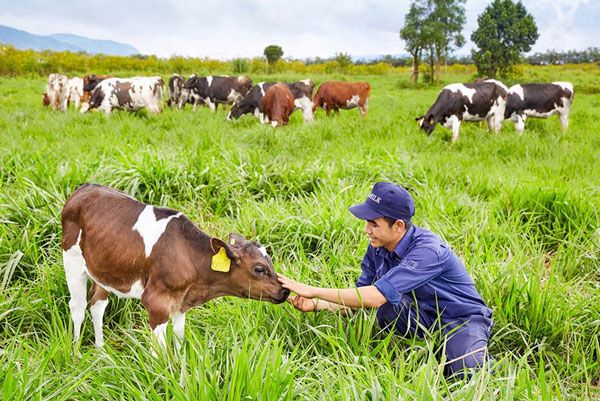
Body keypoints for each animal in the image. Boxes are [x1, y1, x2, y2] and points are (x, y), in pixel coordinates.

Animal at [61, 184, 290, 346]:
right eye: (259, 268)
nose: (285, 291)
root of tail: (84, 187)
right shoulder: (157, 303)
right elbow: (159, 351)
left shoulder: (181, 303)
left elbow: (180, 338)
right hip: (71, 260)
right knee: (78, 306)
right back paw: (76, 352)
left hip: (104, 268)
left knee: (97, 304)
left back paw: (100, 351)